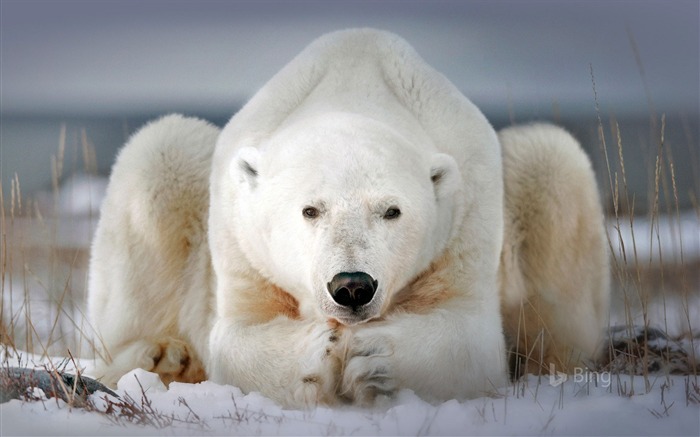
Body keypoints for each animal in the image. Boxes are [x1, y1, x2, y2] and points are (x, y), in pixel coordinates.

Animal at [87, 29, 608, 408]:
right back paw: (161, 356)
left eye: (392, 210)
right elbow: (237, 335)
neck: (354, 85)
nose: (352, 286)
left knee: (550, 164)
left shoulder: (467, 213)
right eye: (310, 209)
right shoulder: (241, 238)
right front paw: (318, 352)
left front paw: (372, 358)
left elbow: (470, 336)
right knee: (161, 154)